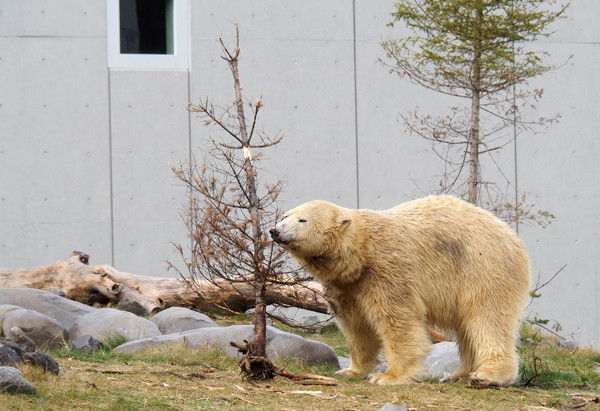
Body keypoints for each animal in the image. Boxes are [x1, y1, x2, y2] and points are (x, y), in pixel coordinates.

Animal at [270, 196, 528, 386]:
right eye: (285, 216)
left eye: (302, 220)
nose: (275, 231)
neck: (360, 252)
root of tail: (512, 236)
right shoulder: (346, 285)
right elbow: (357, 327)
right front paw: (351, 371)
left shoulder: (387, 271)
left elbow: (397, 320)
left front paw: (387, 376)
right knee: (468, 329)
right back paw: (457, 375)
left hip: (481, 268)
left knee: (487, 318)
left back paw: (487, 375)